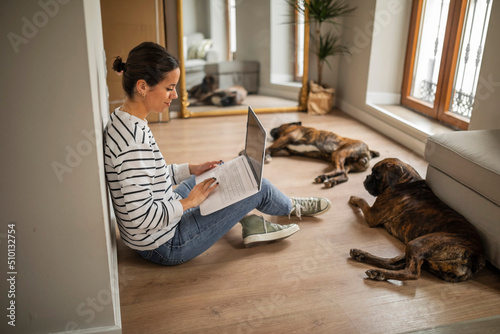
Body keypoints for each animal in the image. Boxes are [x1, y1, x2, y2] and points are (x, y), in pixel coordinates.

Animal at [348, 159, 484, 282]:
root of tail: (477, 255)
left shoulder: (372, 215)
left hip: (418, 244)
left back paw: (379, 273)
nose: (367, 177)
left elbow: (362, 201)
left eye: (376, 174)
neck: (406, 181)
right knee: (393, 263)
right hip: (415, 249)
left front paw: (353, 198)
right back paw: (363, 257)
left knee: (411, 273)